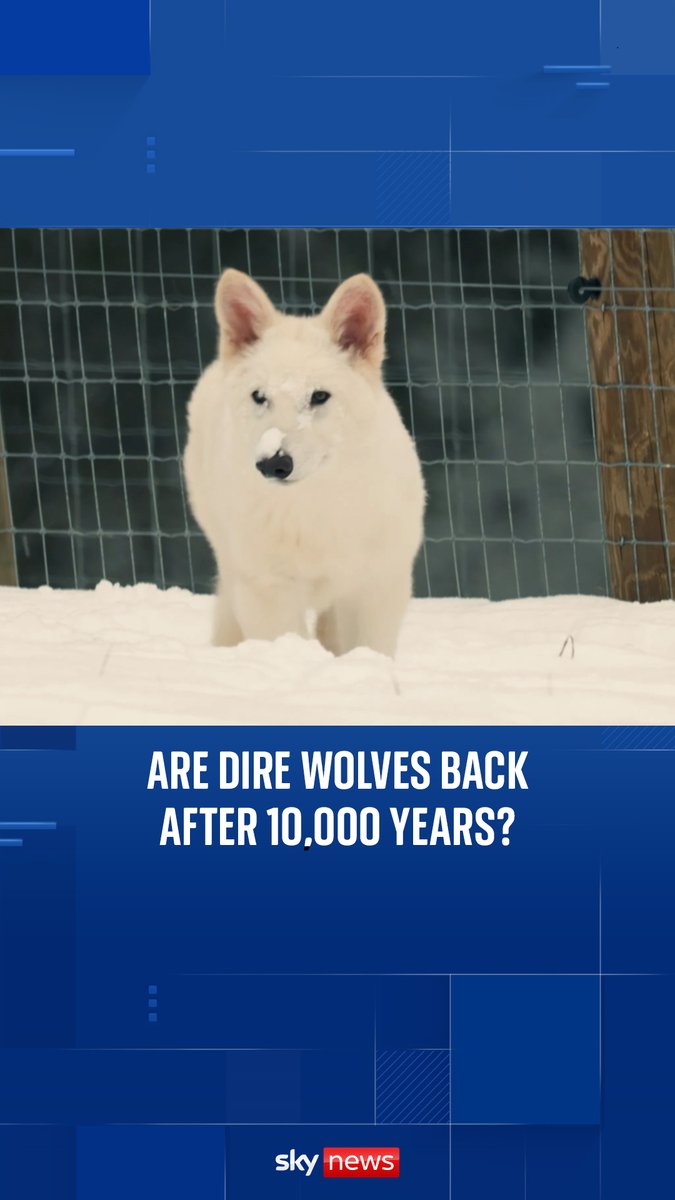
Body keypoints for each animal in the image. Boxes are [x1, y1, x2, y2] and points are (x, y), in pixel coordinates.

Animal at [183, 268, 425, 658]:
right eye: (260, 396)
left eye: (319, 396)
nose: (273, 463)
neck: (314, 506)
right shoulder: (268, 588)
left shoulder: (376, 585)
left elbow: (368, 648)